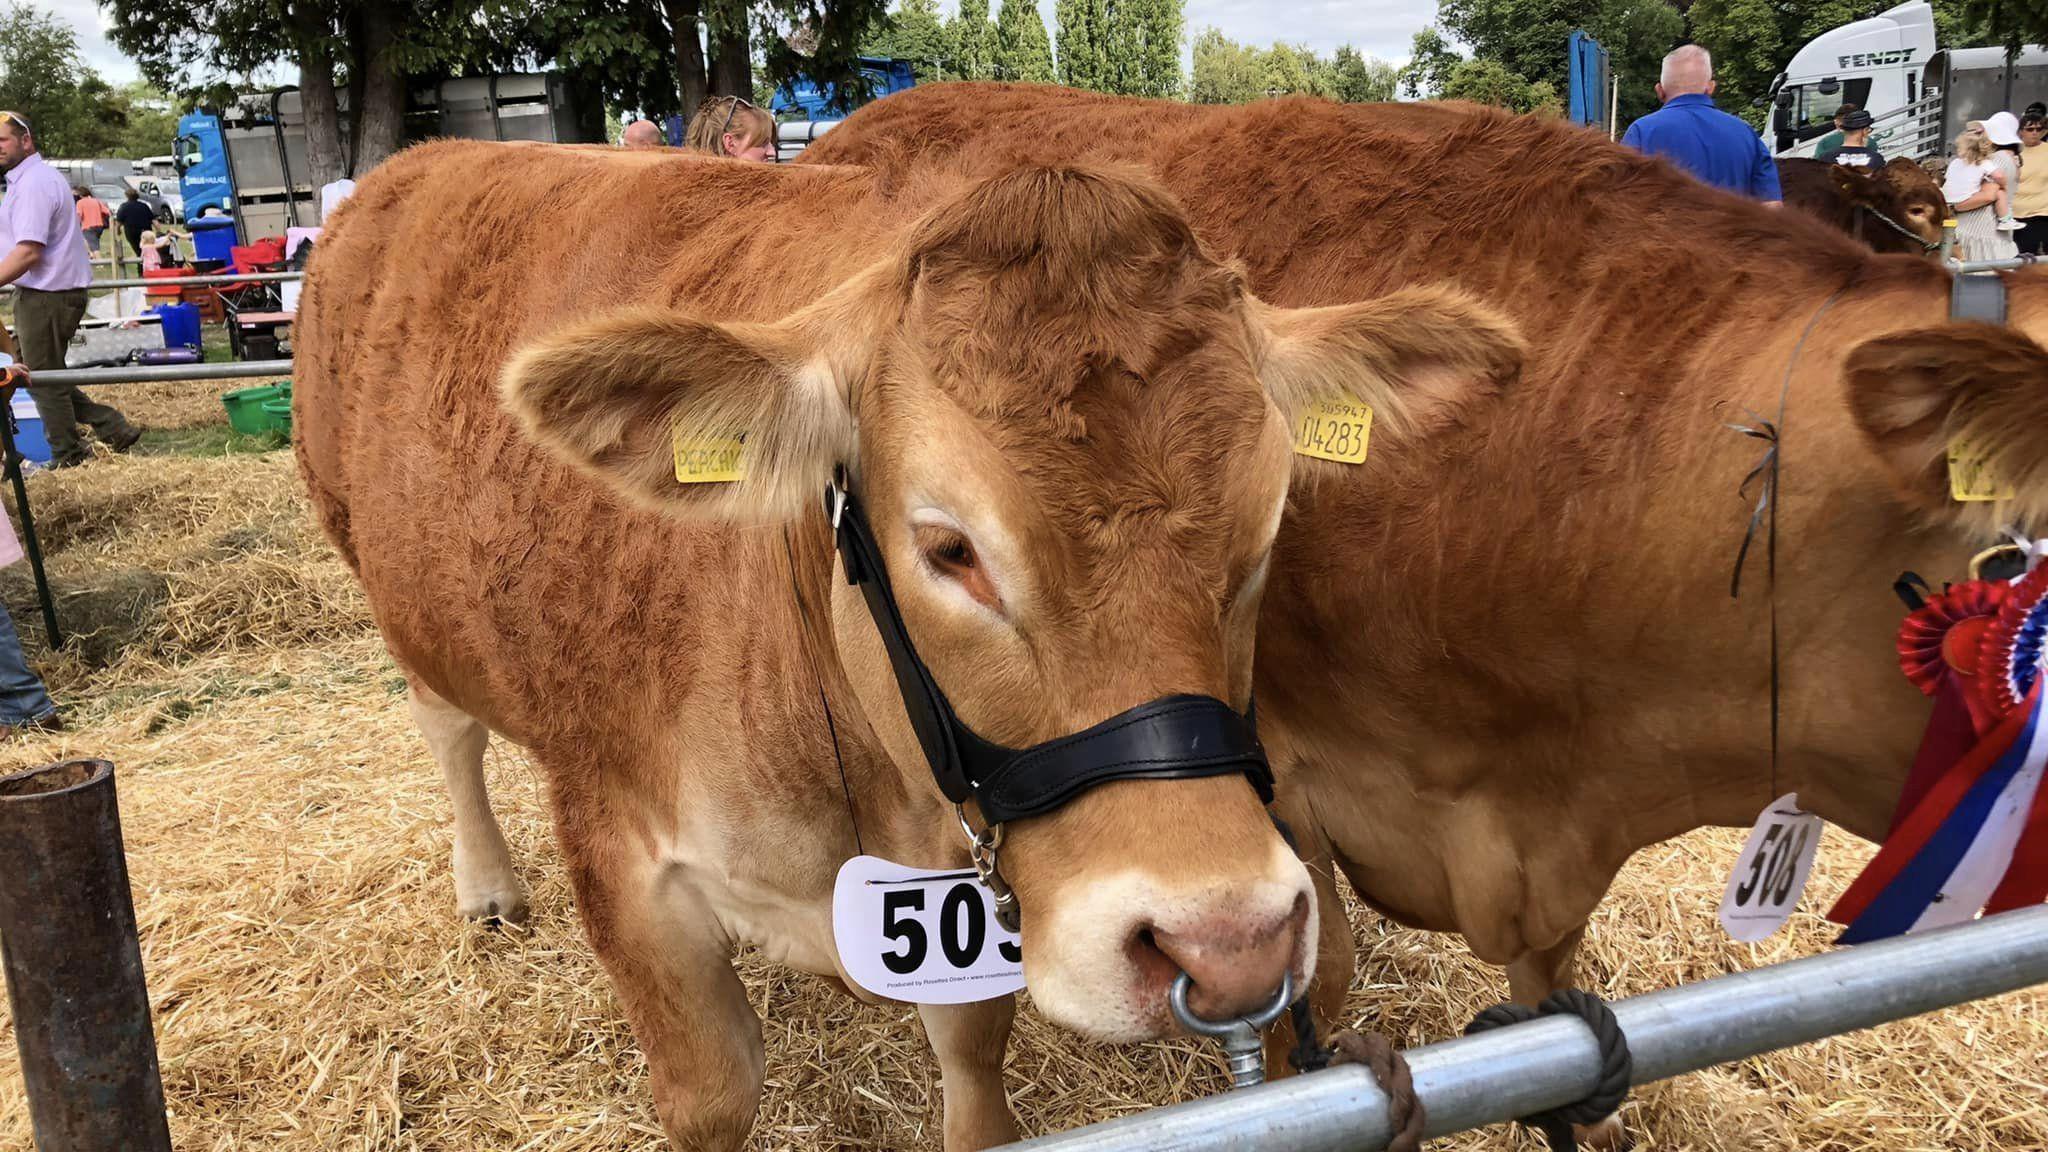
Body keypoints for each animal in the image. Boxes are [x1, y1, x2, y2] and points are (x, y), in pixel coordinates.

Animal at [296, 139, 1531, 1139]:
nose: (1226, 944)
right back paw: (488, 887)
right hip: (377, 568)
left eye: (1267, 523)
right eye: (949, 549)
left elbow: (973, 1082)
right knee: (445, 723)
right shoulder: (620, 853)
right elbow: (711, 1095)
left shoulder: (965, 879)